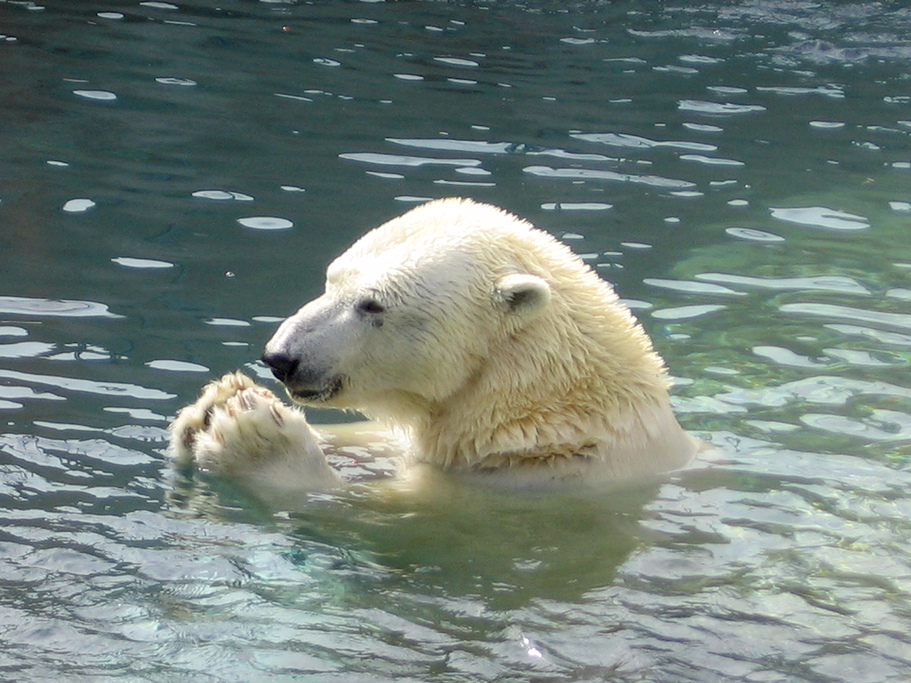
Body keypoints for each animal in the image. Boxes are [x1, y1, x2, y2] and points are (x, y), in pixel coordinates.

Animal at [171, 198, 700, 492]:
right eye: (330, 279)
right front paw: (210, 407)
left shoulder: (525, 484)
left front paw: (254, 441)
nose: (281, 357)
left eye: (372, 304)